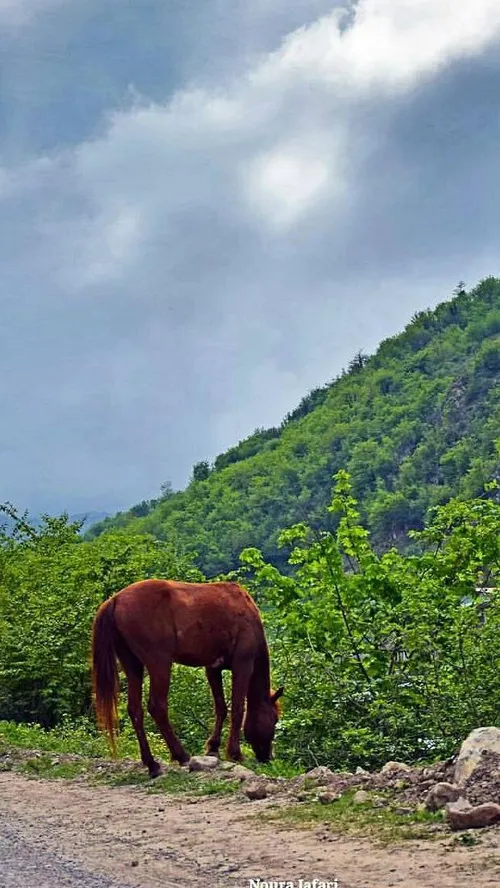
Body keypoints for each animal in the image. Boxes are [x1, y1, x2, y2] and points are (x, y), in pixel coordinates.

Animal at [92, 576, 284, 776]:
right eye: (274, 719)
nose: (268, 757)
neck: (247, 611)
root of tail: (115, 599)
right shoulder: (243, 665)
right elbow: (238, 709)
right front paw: (235, 753)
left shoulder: (213, 668)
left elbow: (221, 708)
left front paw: (213, 747)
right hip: (159, 663)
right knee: (157, 707)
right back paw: (181, 754)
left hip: (133, 665)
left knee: (135, 710)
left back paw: (152, 764)